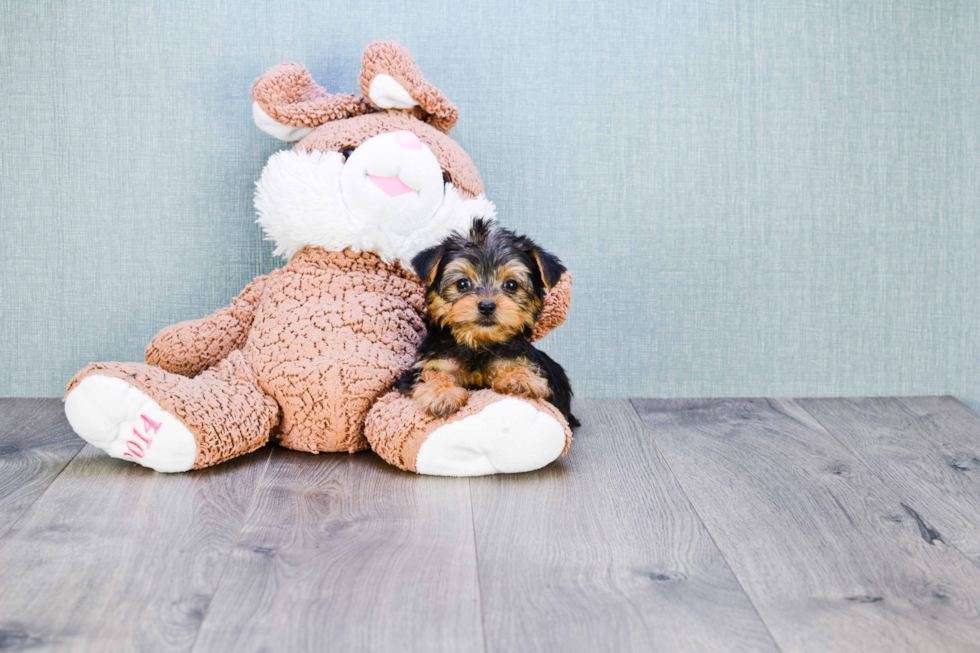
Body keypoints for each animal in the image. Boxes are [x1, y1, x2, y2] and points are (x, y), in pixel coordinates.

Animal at [398, 216, 580, 426]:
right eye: (462, 284)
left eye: (511, 285)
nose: (486, 305)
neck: (478, 343)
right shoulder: (432, 362)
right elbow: (431, 372)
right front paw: (441, 394)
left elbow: (520, 368)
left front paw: (519, 378)